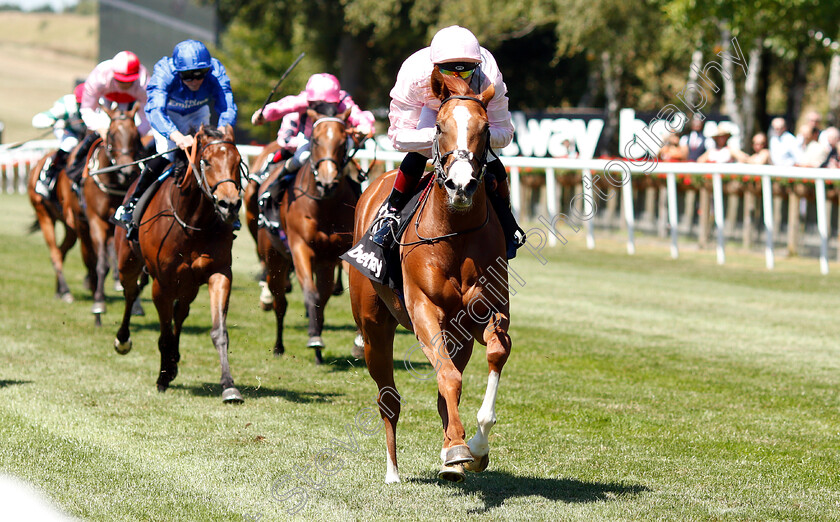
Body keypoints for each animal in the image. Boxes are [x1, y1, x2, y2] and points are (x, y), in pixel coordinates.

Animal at [83, 104, 144, 324]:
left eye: (136, 136)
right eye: (112, 134)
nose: (126, 172)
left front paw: (136, 304)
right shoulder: (96, 221)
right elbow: (101, 263)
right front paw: (98, 304)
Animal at [111, 126, 244, 402]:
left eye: (238, 161)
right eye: (207, 161)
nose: (229, 204)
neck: (192, 223)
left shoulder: (219, 273)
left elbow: (219, 331)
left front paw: (229, 385)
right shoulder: (162, 284)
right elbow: (164, 333)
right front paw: (162, 377)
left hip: (188, 286)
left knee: (180, 313)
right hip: (127, 263)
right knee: (131, 293)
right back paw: (124, 340)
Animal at [260, 107, 358, 362]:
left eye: (343, 142)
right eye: (315, 140)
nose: (327, 183)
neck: (324, 206)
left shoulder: (339, 252)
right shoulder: (300, 247)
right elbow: (311, 294)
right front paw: (314, 337)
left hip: (323, 264)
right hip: (274, 257)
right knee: (280, 302)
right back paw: (279, 346)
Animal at [348, 71, 512, 482]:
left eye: (485, 129)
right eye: (439, 126)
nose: (461, 185)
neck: (456, 232)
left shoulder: (485, 313)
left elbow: (493, 354)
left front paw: (474, 447)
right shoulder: (424, 309)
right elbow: (448, 377)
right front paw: (458, 448)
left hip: (458, 336)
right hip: (373, 326)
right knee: (388, 397)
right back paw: (392, 471)